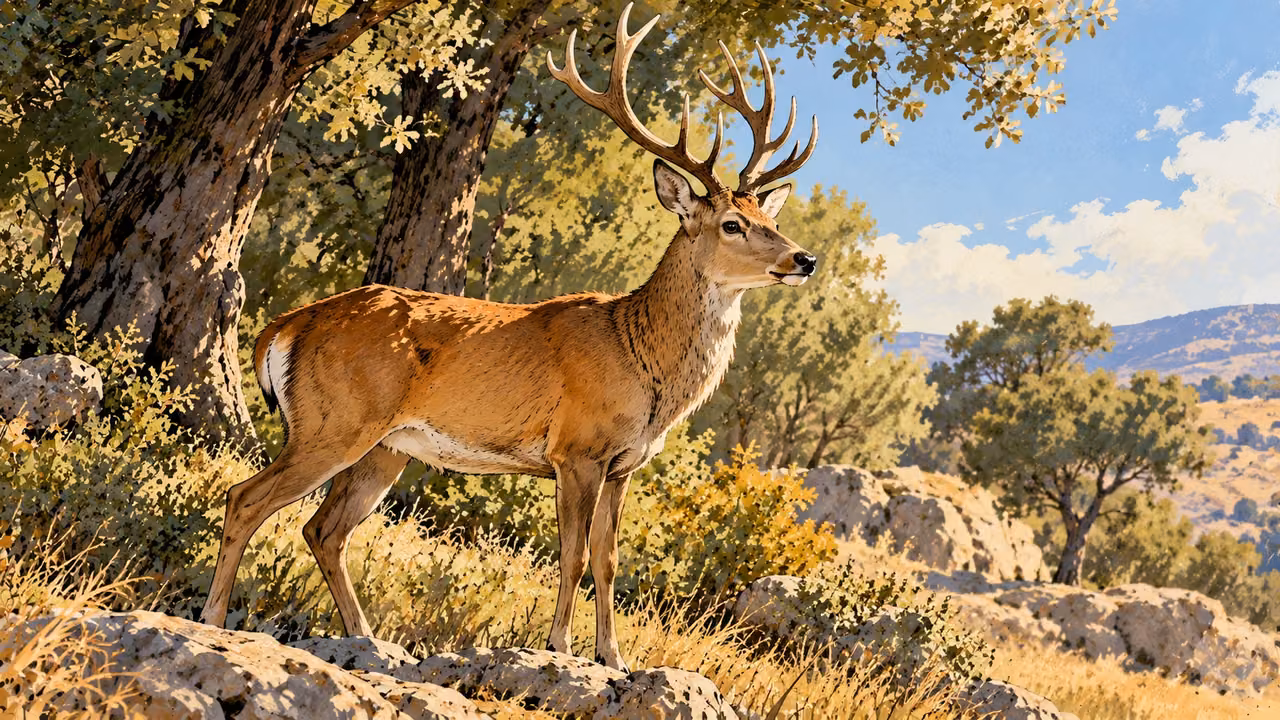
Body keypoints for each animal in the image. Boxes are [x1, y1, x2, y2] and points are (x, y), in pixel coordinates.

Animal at [200, 2, 817, 673]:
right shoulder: (577, 450)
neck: (640, 357)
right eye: (732, 224)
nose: (805, 258)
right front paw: (559, 649)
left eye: (768, 219)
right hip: (332, 421)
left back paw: (367, 639)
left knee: (324, 529)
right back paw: (213, 621)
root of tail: (285, 325)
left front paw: (615, 660)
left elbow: (609, 561)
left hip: (384, 446)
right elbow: (573, 556)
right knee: (246, 498)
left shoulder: (624, 466)